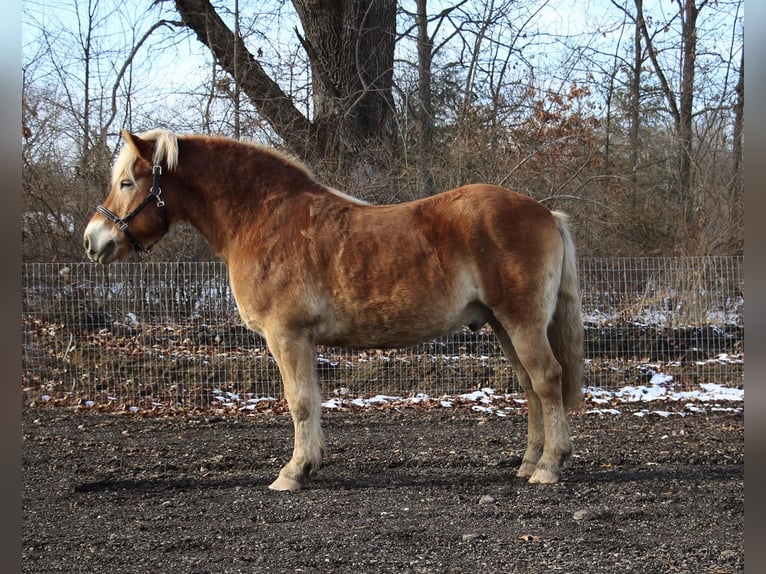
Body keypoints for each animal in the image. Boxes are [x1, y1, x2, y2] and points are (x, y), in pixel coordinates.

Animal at [84, 130, 584, 496]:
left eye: (128, 182)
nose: (93, 240)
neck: (262, 220)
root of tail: (546, 213)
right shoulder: (300, 340)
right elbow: (311, 402)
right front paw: (309, 465)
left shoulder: (287, 336)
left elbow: (300, 403)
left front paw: (293, 472)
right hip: (503, 325)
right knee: (530, 388)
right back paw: (529, 463)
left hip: (521, 323)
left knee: (546, 381)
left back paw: (549, 466)